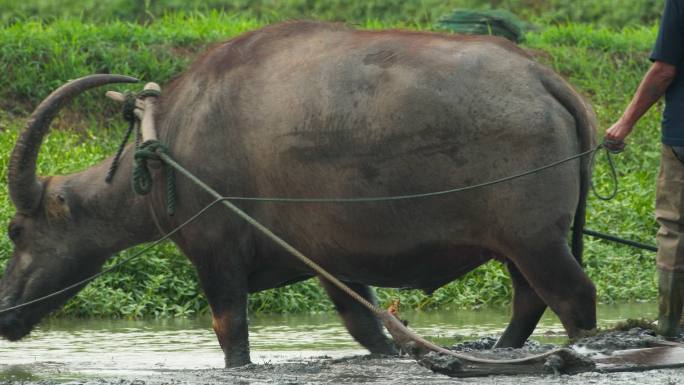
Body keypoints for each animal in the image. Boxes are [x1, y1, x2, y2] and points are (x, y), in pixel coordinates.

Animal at [0, 21, 596, 366]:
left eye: (16, 229)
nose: (5, 312)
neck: (170, 147)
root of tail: (542, 77)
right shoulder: (333, 262)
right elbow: (368, 330)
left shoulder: (217, 257)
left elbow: (232, 336)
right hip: (520, 247)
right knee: (528, 301)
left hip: (536, 241)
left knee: (572, 298)